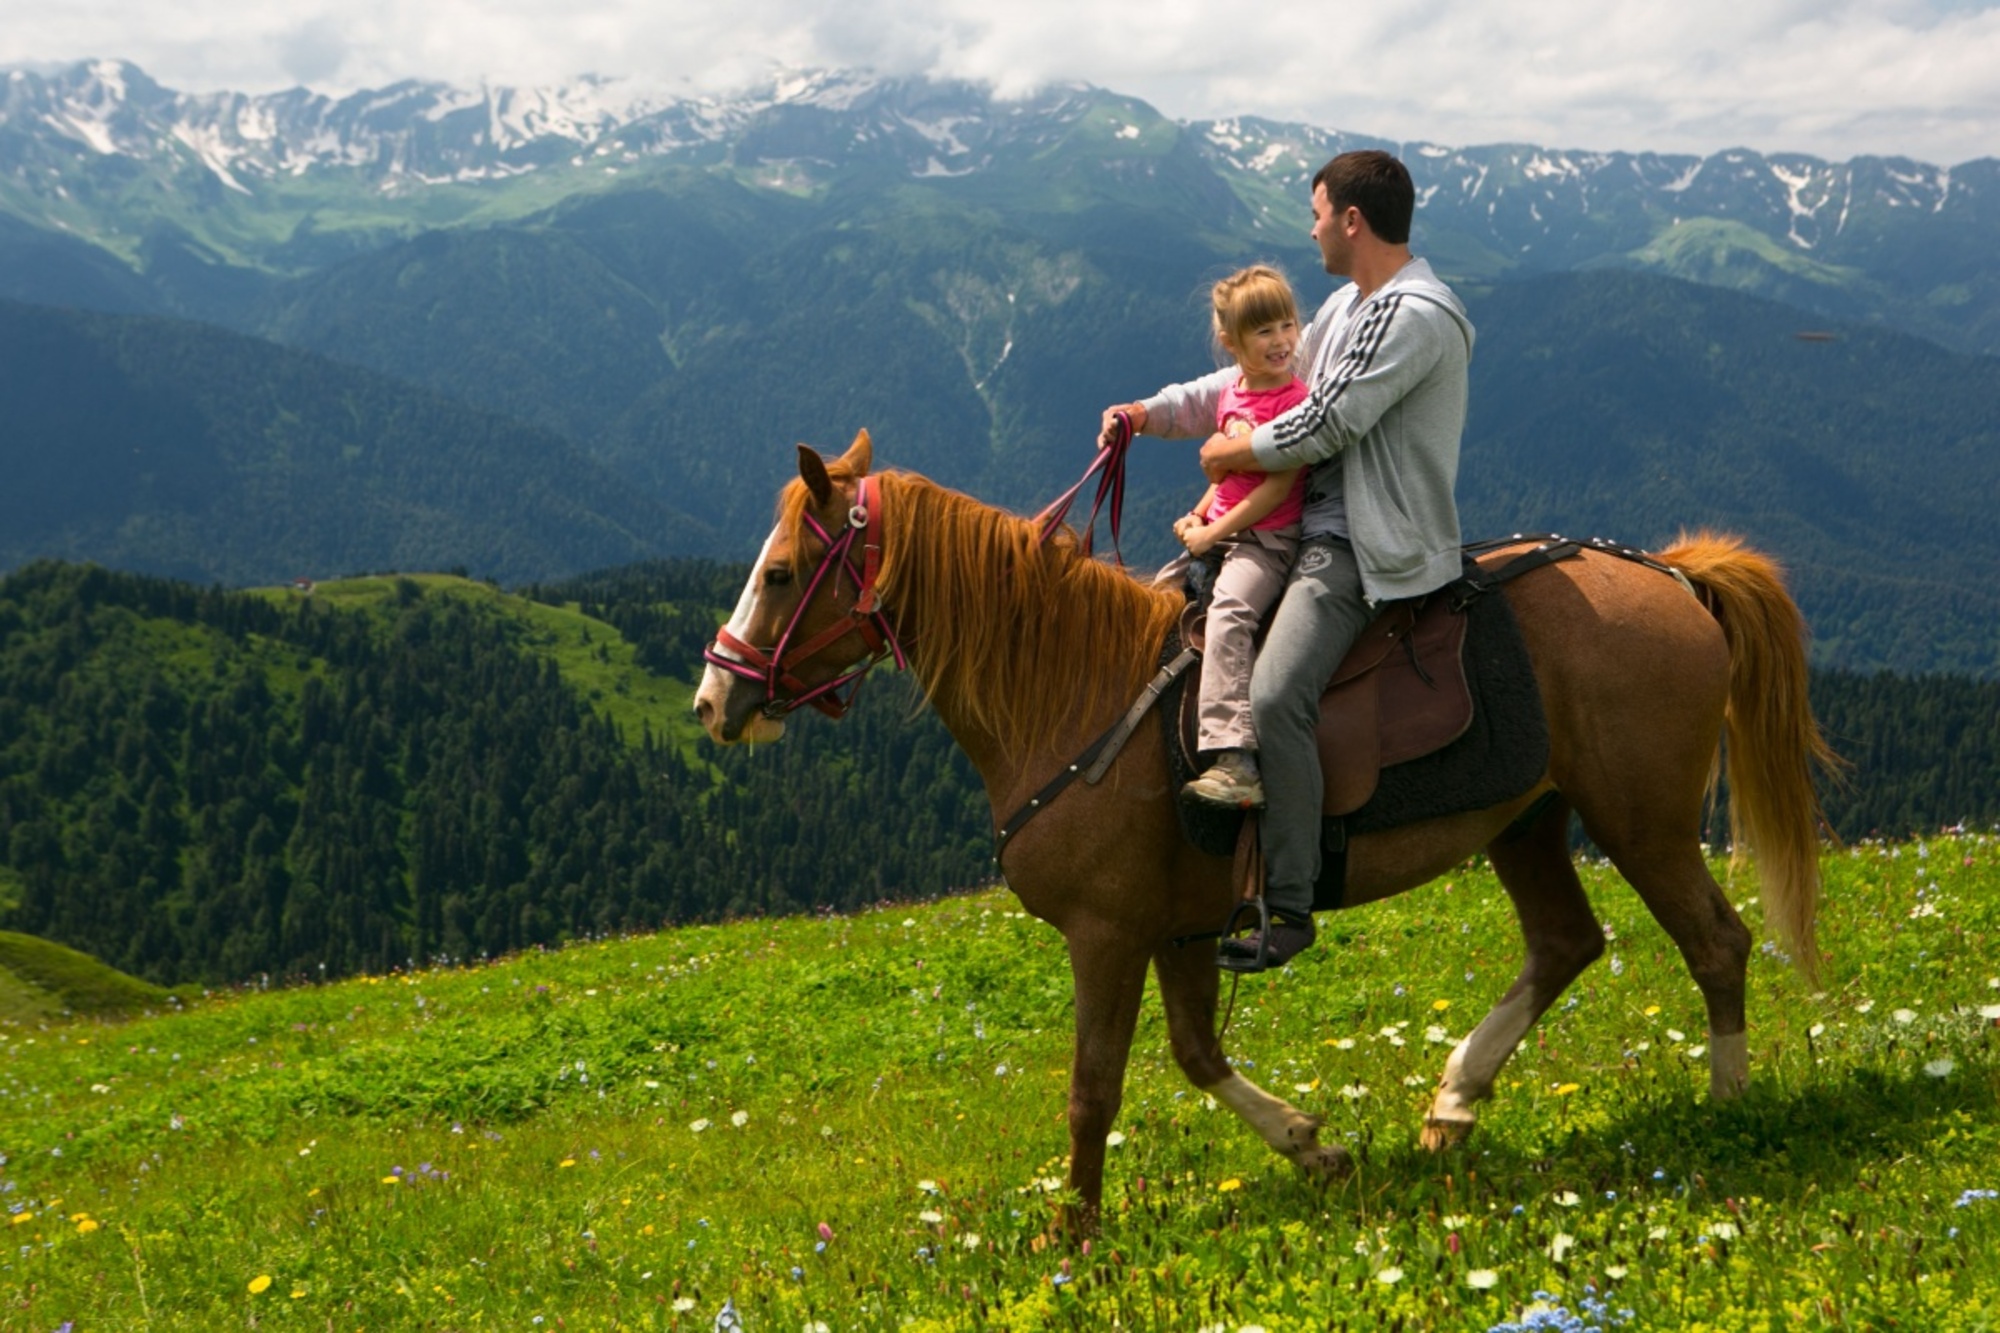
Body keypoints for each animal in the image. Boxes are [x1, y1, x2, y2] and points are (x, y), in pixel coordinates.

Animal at [696, 430, 1832, 1232]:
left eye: (784, 573)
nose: (715, 698)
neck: (1071, 693)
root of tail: (1672, 574)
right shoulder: (1181, 926)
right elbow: (1197, 1054)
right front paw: (1312, 1147)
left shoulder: (1107, 933)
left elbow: (1091, 1088)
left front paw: (1073, 1237)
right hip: (1529, 818)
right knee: (1565, 942)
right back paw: (1453, 1102)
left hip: (1642, 819)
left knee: (1714, 942)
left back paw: (1728, 1105)